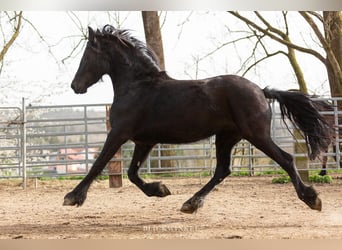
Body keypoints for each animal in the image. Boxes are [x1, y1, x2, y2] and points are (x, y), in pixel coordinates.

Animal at [62, 24, 330, 213]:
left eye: (87, 55)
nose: (75, 86)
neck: (137, 86)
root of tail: (261, 91)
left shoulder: (119, 133)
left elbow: (99, 163)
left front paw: (72, 197)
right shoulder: (144, 141)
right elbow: (132, 173)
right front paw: (160, 189)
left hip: (256, 135)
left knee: (285, 159)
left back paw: (312, 198)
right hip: (226, 137)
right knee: (222, 169)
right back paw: (191, 203)